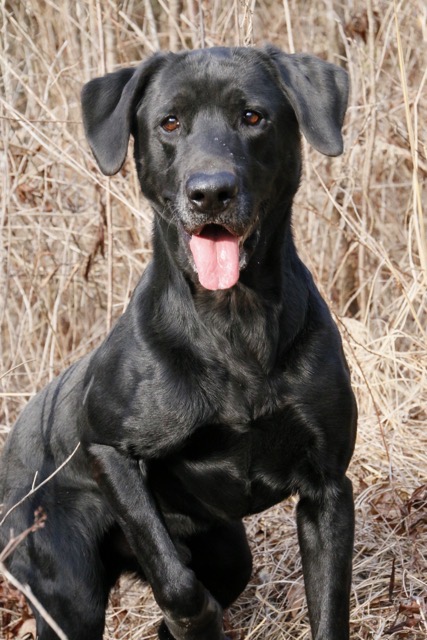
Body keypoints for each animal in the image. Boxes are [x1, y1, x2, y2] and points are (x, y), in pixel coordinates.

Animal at [0, 46, 358, 640]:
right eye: (169, 123)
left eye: (252, 117)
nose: (210, 192)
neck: (233, 320)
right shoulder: (108, 450)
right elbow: (177, 585)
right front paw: (200, 618)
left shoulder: (327, 490)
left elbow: (329, 612)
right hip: (67, 593)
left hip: (230, 552)